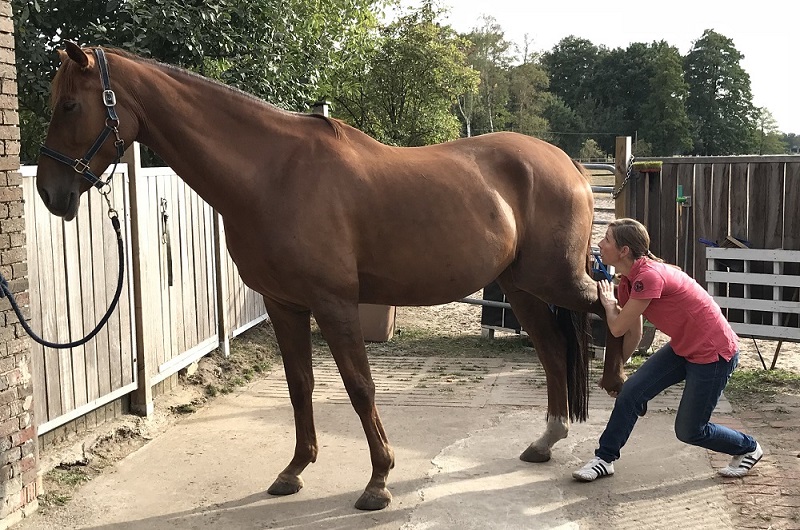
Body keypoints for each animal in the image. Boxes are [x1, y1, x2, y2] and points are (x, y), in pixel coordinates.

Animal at [36, 43, 626, 510]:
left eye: (70, 104)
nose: (49, 193)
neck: (274, 174)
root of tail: (569, 165)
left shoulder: (334, 303)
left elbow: (360, 387)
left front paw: (379, 481)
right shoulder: (284, 304)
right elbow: (301, 387)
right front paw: (294, 471)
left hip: (553, 279)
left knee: (608, 305)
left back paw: (615, 391)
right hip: (523, 288)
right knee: (552, 350)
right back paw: (547, 439)